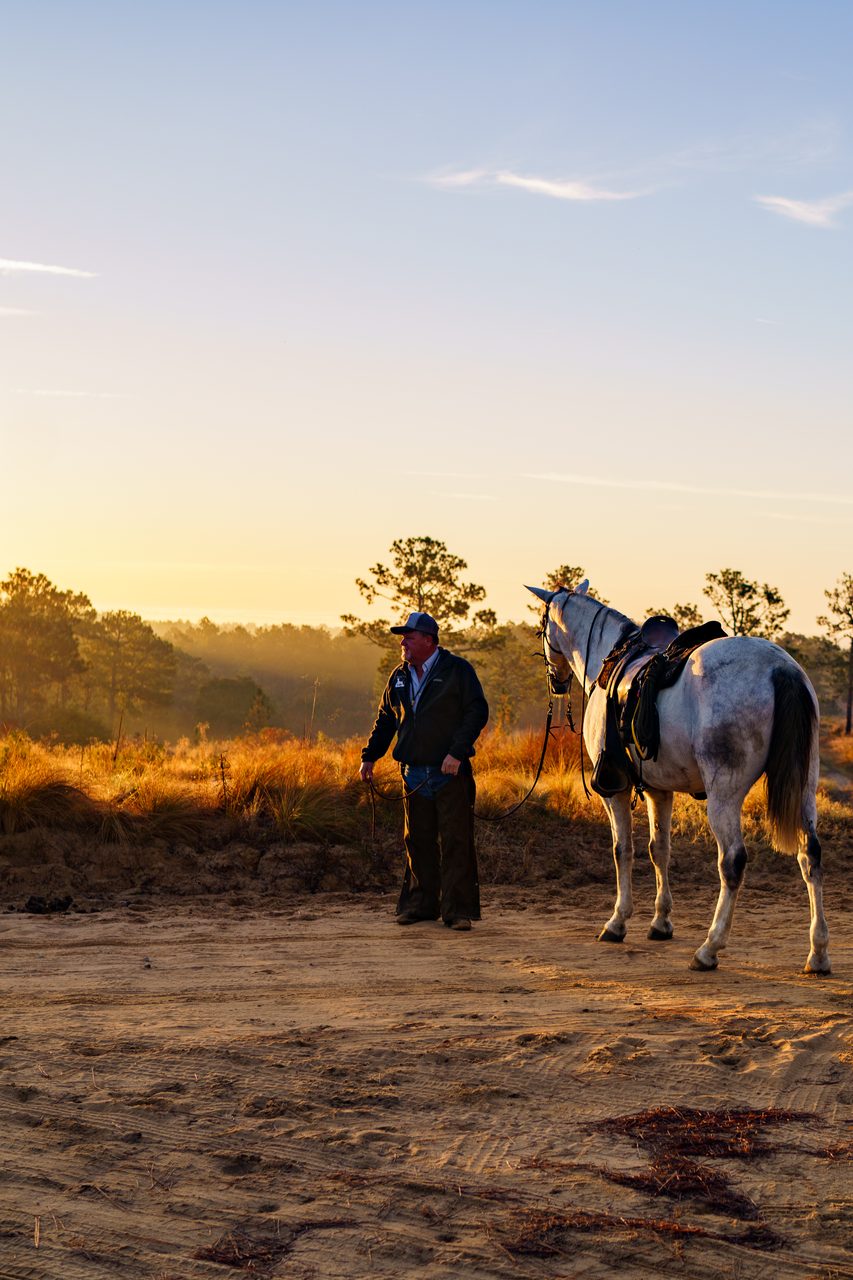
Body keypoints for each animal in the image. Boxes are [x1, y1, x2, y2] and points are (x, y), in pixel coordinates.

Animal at [526, 581, 829, 974]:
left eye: (541, 628)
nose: (556, 681)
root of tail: (780, 668)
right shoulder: (659, 791)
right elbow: (660, 850)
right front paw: (661, 922)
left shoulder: (615, 791)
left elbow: (622, 850)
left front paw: (617, 922)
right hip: (805, 787)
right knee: (811, 855)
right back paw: (818, 953)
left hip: (724, 794)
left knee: (732, 861)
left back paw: (709, 948)